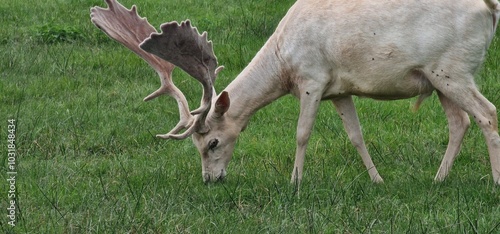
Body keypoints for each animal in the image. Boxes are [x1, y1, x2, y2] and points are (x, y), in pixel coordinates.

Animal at [91, 0, 500, 186]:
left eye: (212, 143)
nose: (210, 180)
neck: (283, 64)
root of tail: (489, 8)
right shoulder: (339, 90)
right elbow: (356, 135)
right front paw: (377, 180)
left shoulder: (312, 79)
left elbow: (302, 133)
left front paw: (295, 182)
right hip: (437, 78)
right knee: (460, 122)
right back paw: (438, 179)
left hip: (455, 70)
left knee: (487, 113)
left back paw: (494, 181)